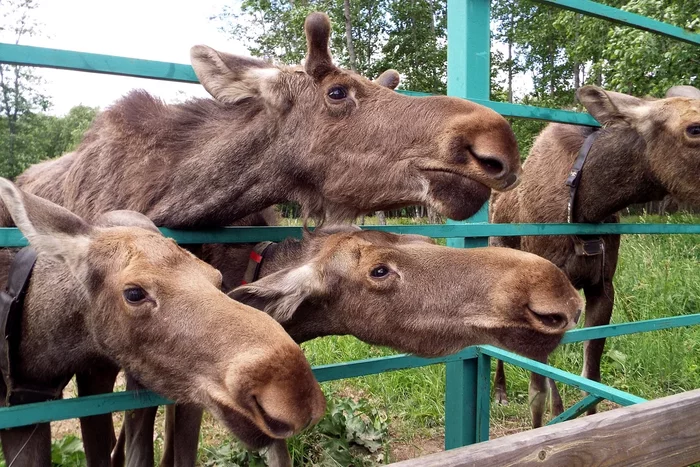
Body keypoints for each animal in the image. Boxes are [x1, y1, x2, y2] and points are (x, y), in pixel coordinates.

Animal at [490, 84, 700, 428]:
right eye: (694, 128)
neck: (588, 205)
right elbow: (540, 390)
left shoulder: (603, 285)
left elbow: (591, 379)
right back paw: (500, 391)